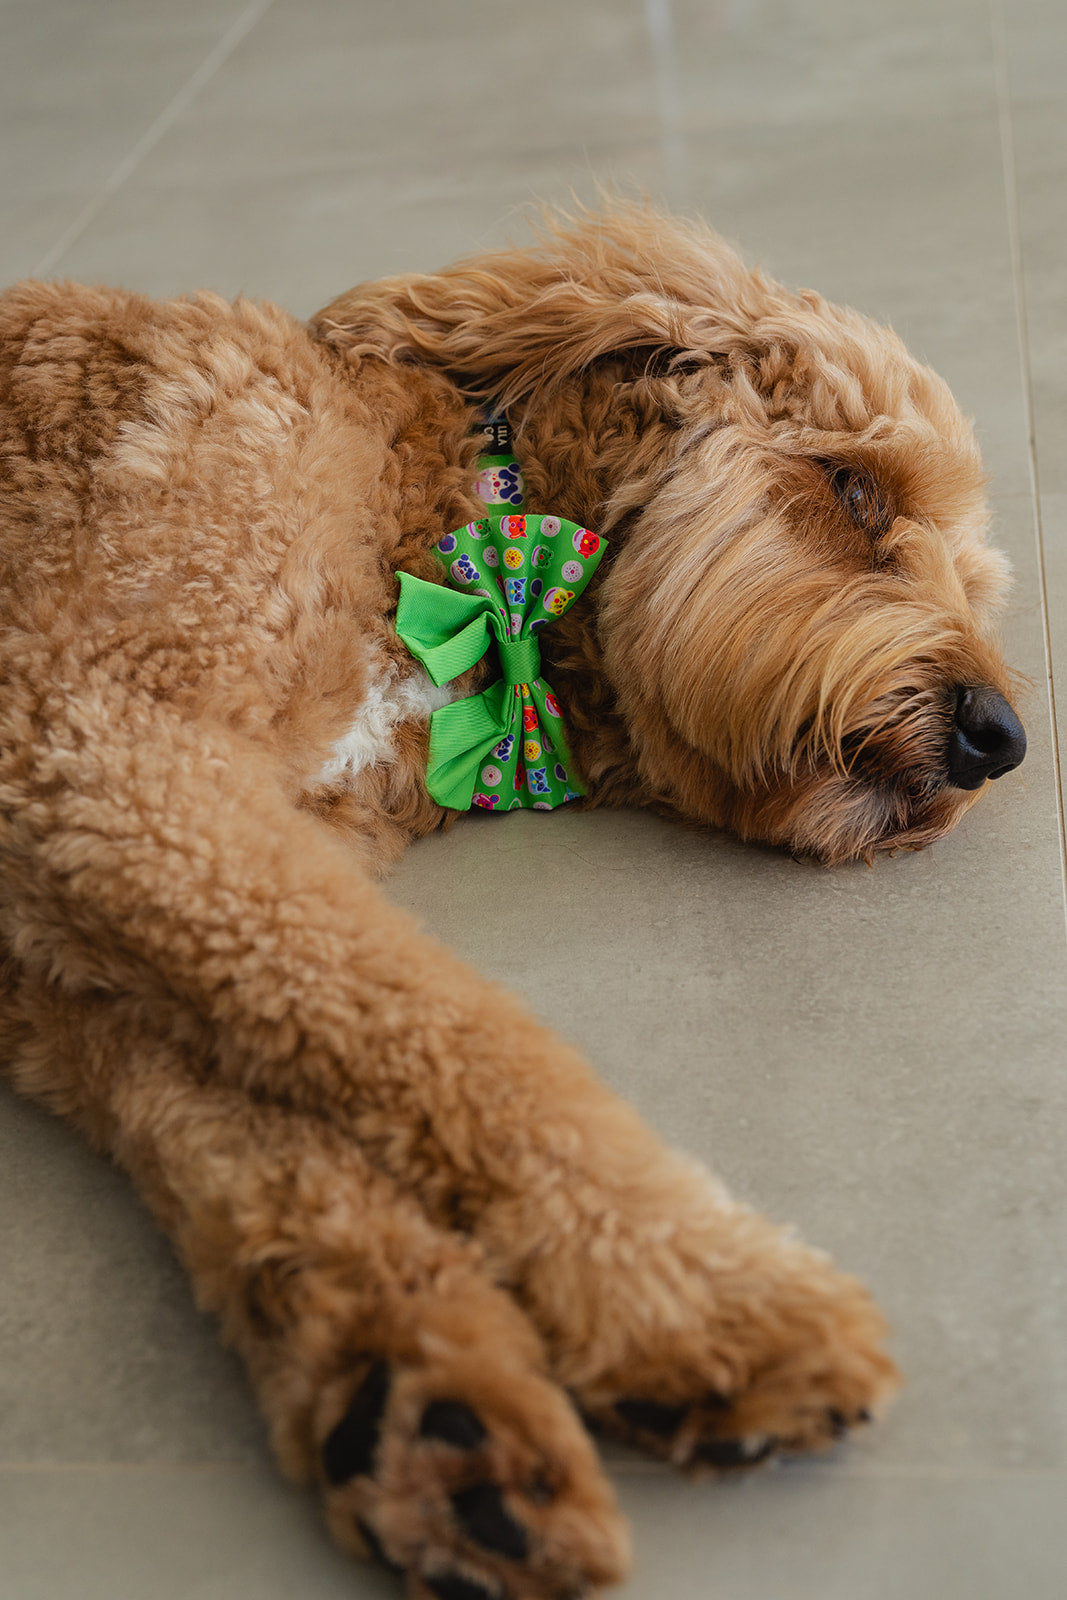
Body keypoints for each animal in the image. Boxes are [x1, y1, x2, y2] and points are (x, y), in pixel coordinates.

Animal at [0, 212, 1023, 1600]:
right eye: (856, 491)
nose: (997, 737)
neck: (448, 537)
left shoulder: (93, 912)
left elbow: (247, 1132)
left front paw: (421, 1399)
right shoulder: (107, 752)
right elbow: (474, 1047)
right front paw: (704, 1296)